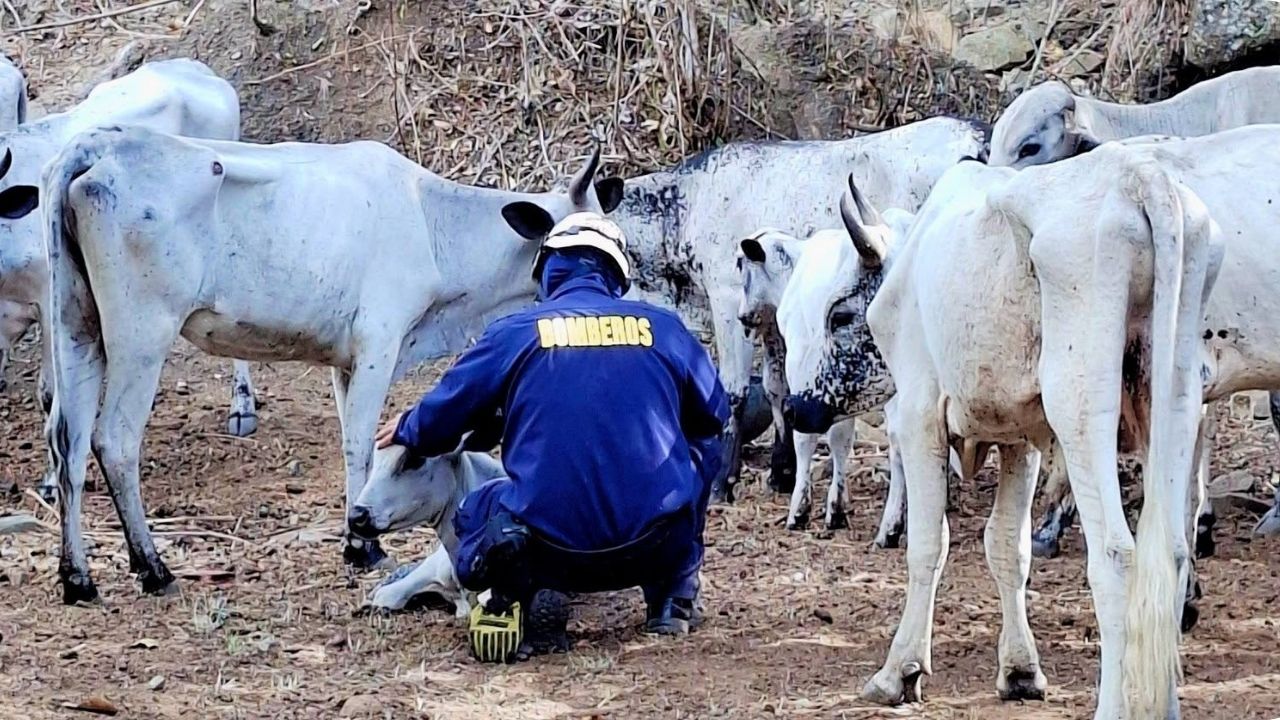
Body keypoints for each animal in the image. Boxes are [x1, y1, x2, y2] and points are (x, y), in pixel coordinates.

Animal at [38, 125, 621, 603]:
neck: (432, 221)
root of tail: (95, 147)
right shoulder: (378, 345)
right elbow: (361, 443)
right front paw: (360, 546)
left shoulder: (346, 362)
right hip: (142, 335)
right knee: (114, 439)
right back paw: (152, 567)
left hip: (76, 326)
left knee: (67, 442)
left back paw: (77, 577)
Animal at [612, 117, 988, 503]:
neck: (684, 205)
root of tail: (979, 135)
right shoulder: (769, 319)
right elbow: (776, 387)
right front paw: (782, 470)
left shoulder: (728, 304)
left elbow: (734, 391)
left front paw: (722, 481)